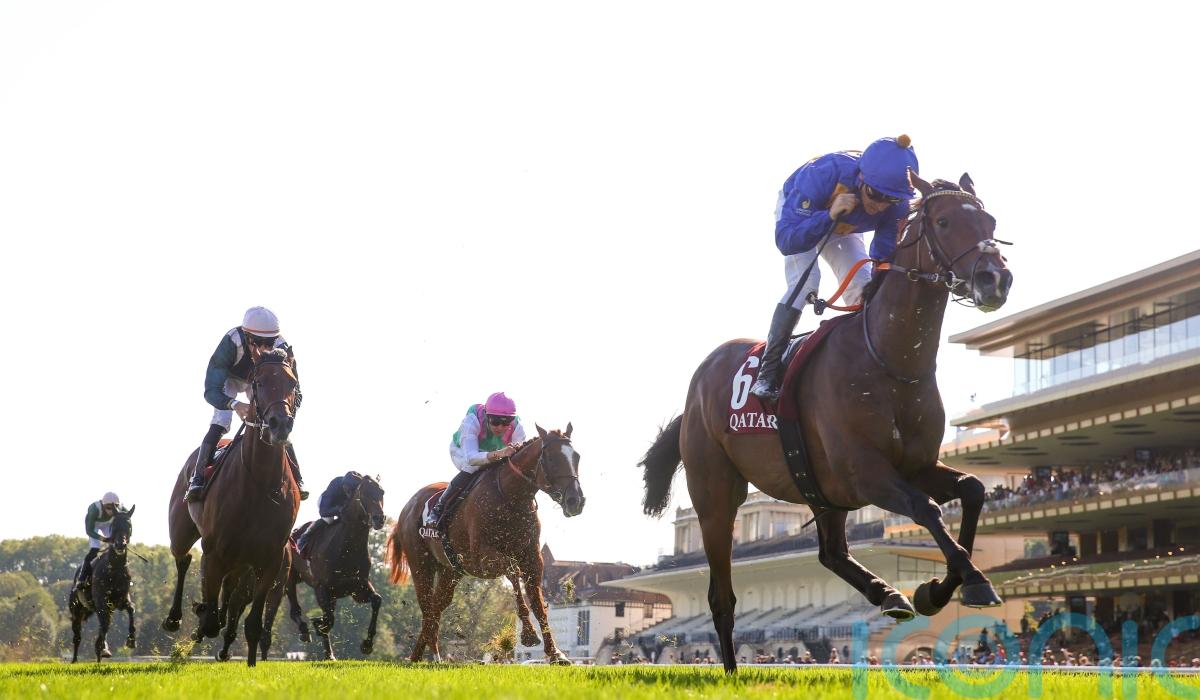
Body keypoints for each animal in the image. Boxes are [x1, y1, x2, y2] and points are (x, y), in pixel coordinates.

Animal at [69, 506, 137, 663]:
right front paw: (102, 648)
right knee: (77, 636)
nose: (120, 545)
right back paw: (74, 660)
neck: (115, 569)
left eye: (129, 525)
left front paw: (131, 640)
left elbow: (131, 609)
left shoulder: (120, 600)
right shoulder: (101, 602)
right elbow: (105, 625)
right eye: (114, 525)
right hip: (76, 611)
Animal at [162, 348, 301, 667]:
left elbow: (253, 624)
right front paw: (202, 618)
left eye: (292, 383)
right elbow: (213, 616)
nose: (280, 425)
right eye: (259, 383)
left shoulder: (270, 559)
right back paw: (175, 618)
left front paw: (250, 664)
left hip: (240, 561)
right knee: (183, 559)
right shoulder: (215, 552)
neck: (261, 483)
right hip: (181, 531)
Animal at [288, 474, 387, 660]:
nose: (379, 519)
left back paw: (329, 654)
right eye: (364, 493)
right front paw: (317, 624)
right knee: (294, 607)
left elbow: (377, 600)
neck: (347, 547)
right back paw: (305, 631)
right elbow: (328, 620)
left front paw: (367, 644)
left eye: (381, 492)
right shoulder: (322, 588)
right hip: (290, 576)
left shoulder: (358, 588)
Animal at [387, 425, 584, 663]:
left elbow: (537, 600)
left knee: (436, 606)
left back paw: (424, 655)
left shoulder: (532, 558)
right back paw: (423, 656)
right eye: (553, 459)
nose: (576, 501)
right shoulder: (481, 560)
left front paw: (555, 653)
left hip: (450, 570)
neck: (511, 496)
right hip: (420, 564)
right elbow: (513, 572)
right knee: (426, 605)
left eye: (577, 457)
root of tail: (407, 508)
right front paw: (528, 634)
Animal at [639, 172, 1013, 673]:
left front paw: (936, 589)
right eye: (944, 220)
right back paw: (733, 670)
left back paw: (888, 593)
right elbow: (928, 509)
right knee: (722, 596)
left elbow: (972, 489)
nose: (996, 278)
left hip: (820, 490)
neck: (889, 361)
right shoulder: (866, 472)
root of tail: (697, 385)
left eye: (990, 221)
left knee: (832, 552)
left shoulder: (914, 465)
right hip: (716, 494)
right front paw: (967, 581)